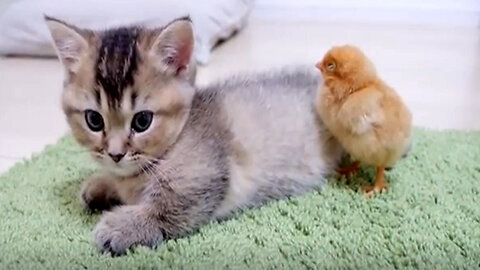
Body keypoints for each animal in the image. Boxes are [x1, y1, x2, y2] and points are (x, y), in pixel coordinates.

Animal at [45, 15, 344, 254]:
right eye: (93, 120)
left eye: (142, 121)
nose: (115, 154)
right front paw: (102, 184)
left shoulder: (206, 179)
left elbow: (168, 211)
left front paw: (121, 227)